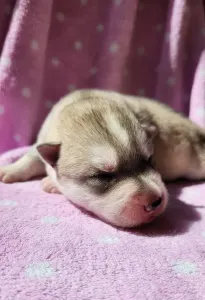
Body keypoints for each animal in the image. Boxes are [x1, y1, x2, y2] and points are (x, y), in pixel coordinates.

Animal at [0, 89, 205, 227]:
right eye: (103, 176)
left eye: (149, 160)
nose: (155, 202)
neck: (85, 101)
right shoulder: (43, 139)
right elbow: (31, 157)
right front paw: (10, 170)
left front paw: (51, 183)